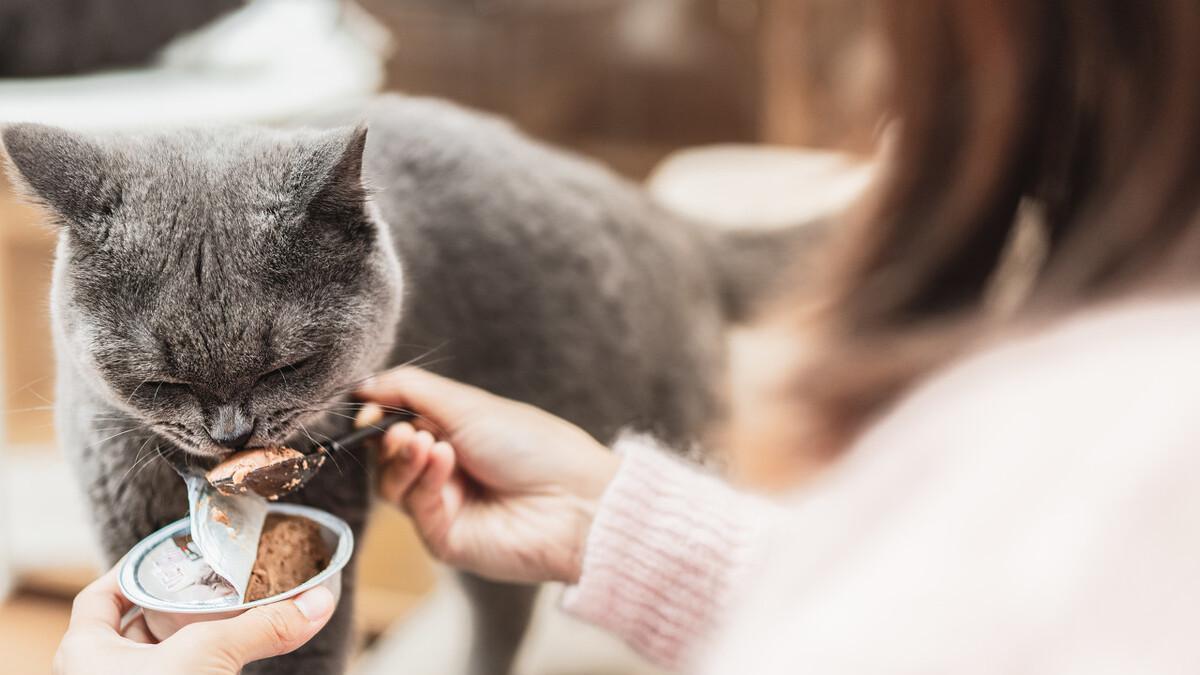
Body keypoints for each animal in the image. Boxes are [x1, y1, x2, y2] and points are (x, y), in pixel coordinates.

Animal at [0, 96, 816, 672]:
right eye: (161, 379)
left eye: (286, 367)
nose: (231, 431)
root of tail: (667, 217)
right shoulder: (116, 509)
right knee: (506, 600)